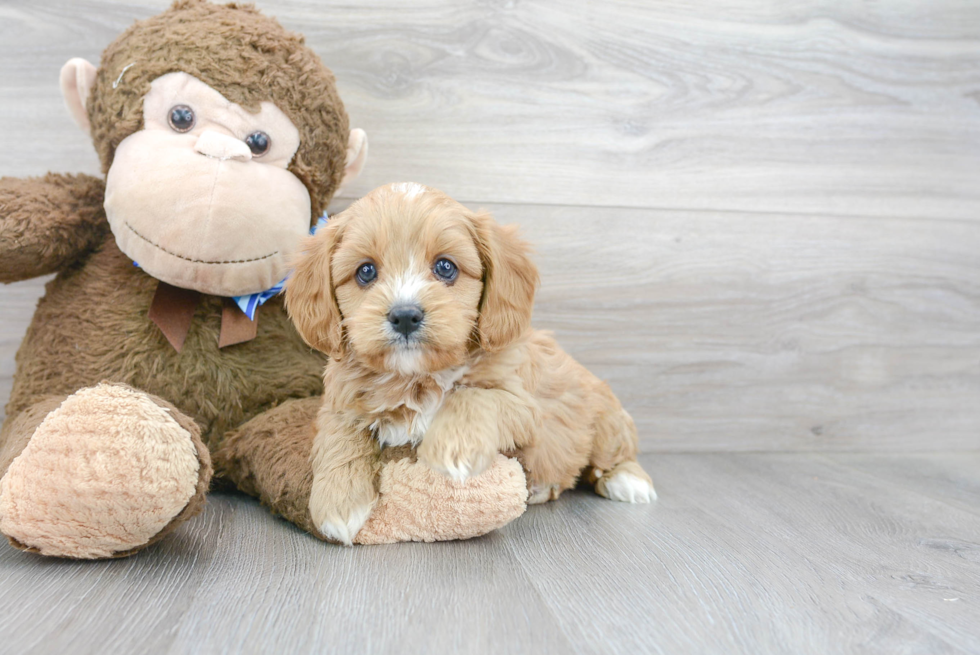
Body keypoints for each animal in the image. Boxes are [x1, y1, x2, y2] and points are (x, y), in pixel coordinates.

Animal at [288, 183, 656, 544]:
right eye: (365, 271)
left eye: (445, 267)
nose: (405, 316)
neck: (416, 377)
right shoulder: (340, 401)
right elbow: (339, 437)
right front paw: (338, 503)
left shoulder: (524, 404)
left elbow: (471, 397)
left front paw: (452, 452)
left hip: (606, 420)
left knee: (615, 454)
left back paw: (629, 481)